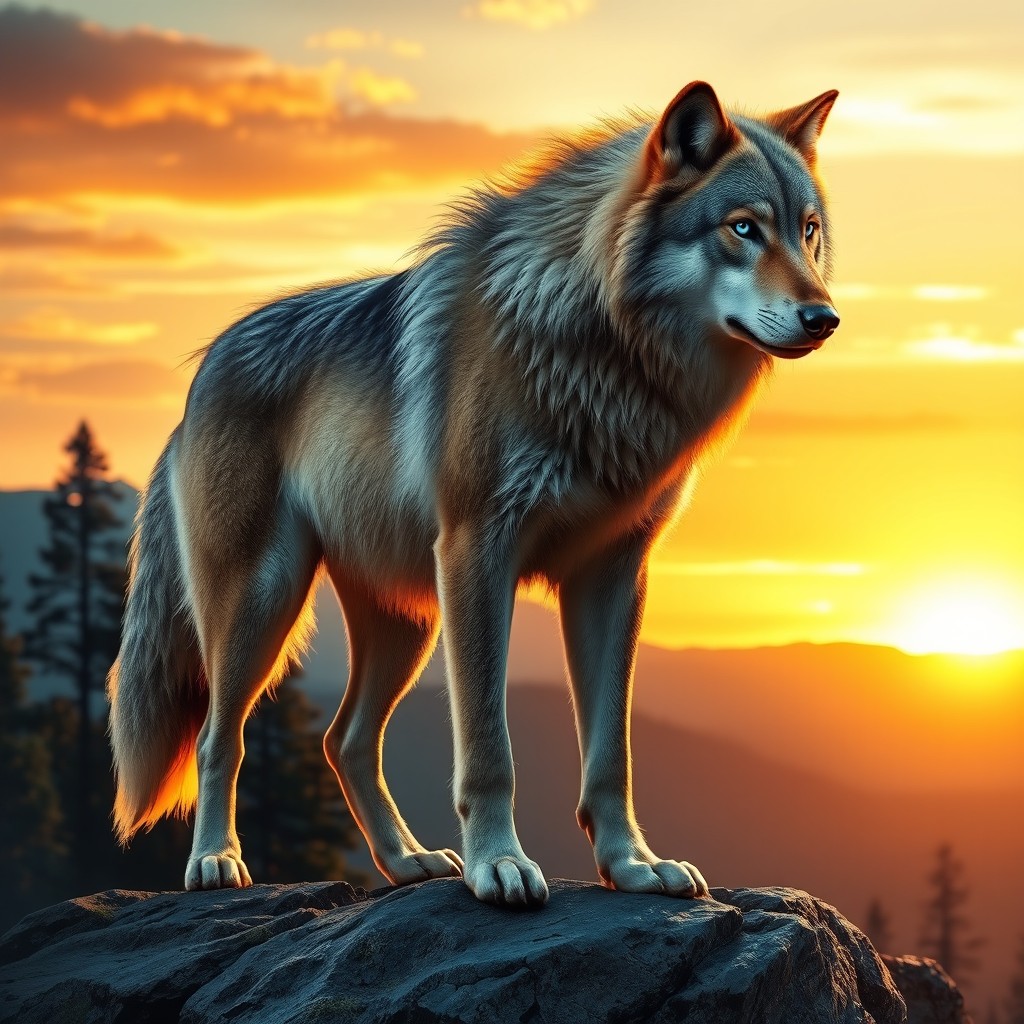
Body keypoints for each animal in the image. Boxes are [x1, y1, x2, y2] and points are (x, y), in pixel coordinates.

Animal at [107, 82, 840, 907]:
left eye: (808, 231)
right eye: (743, 228)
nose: (826, 318)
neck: (602, 352)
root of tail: (199, 376)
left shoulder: (613, 576)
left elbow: (611, 754)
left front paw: (632, 867)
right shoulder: (478, 552)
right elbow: (490, 747)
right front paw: (499, 864)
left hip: (408, 621)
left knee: (343, 739)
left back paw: (406, 862)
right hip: (268, 599)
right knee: (217, 737)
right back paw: (216, 862)